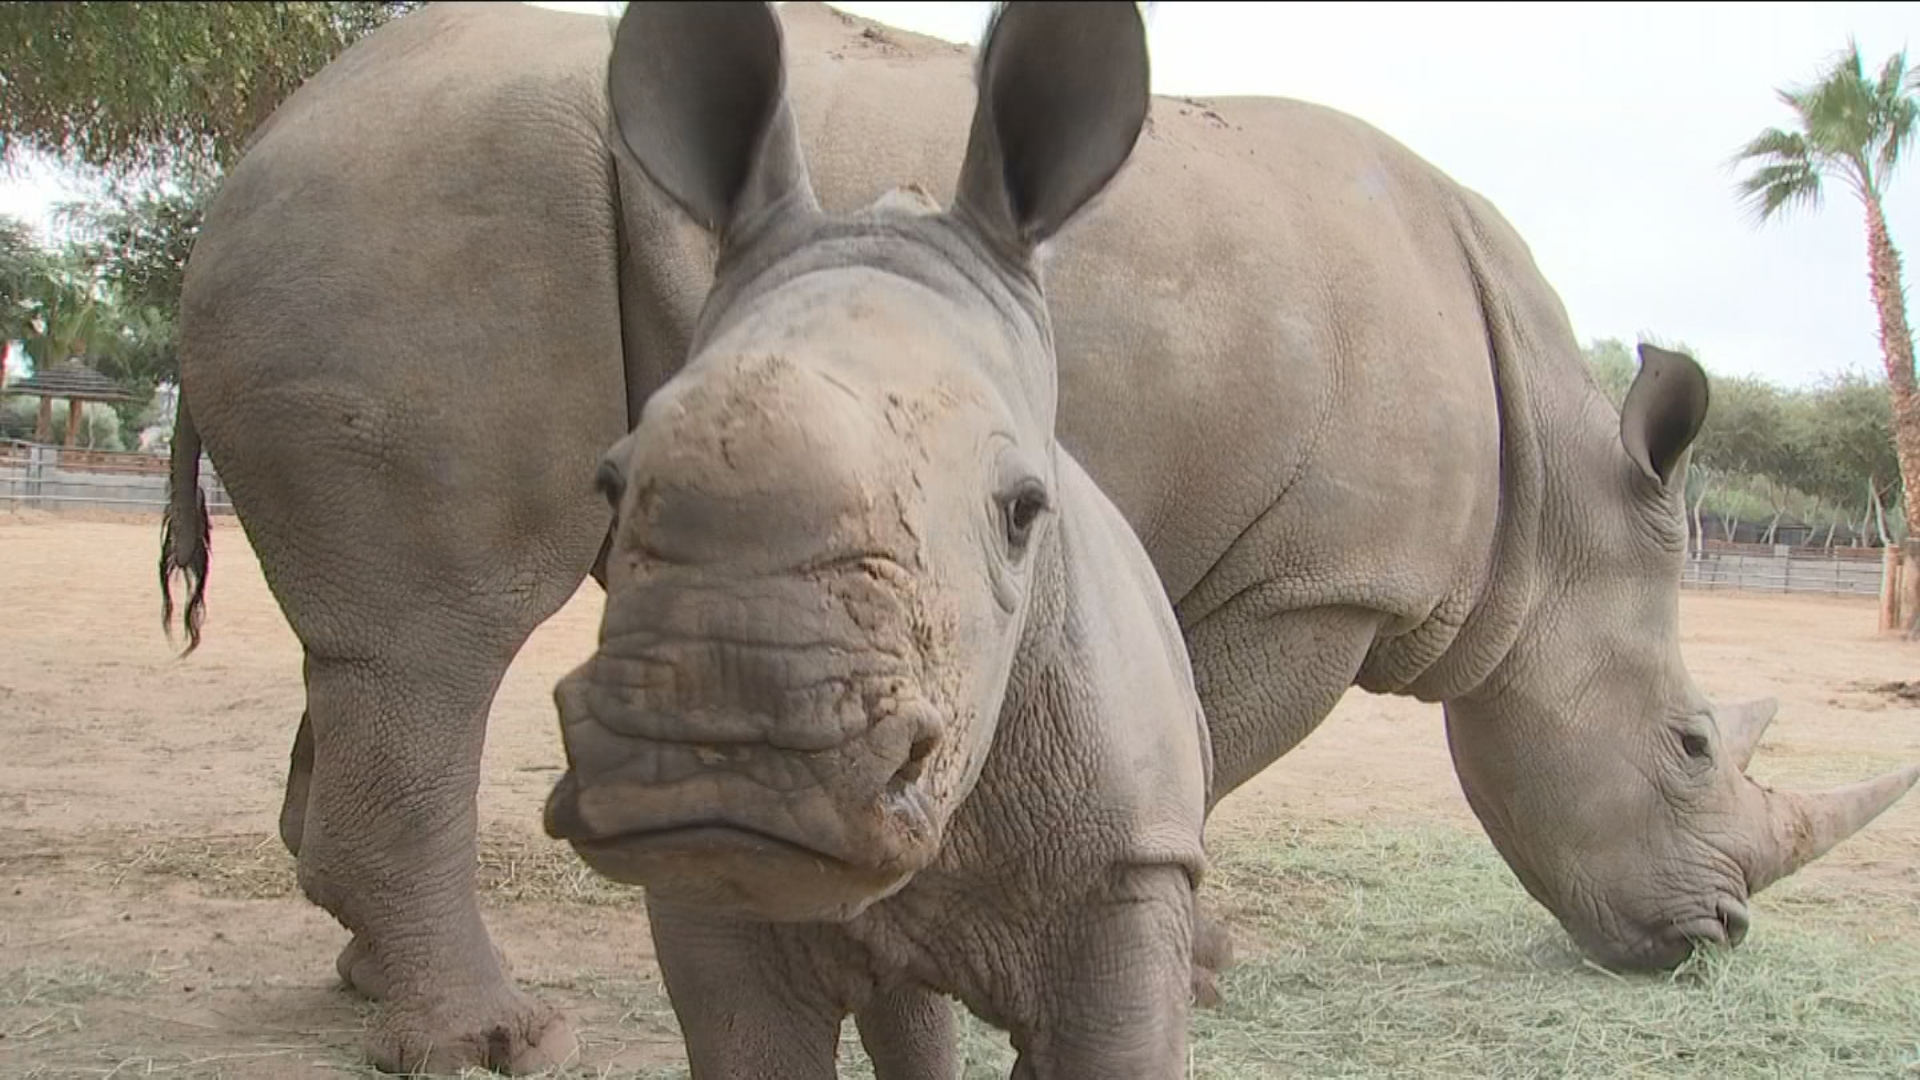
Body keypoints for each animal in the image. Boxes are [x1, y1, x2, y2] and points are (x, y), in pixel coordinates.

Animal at [160, 0, 1919, 1073]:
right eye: (1690, 746)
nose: (1716, 939)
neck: (1552, 502)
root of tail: (265, 137)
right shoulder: (1319, 581)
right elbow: (1221, 743)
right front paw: (1204, 966)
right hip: (424, 214)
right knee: (435, 638)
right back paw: (495, 1041)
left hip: (372, 207)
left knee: (362, 647)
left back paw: (367, 986)